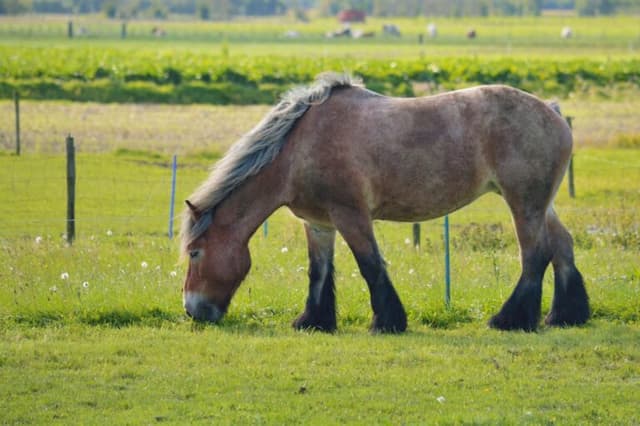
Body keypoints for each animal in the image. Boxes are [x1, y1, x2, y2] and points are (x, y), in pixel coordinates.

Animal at [180, 72, 592, 332]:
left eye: (195, 253)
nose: (192, 310)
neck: (298, 150)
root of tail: (553, 111)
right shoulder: (319, 223)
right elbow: (319, 271)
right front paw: (313, 321)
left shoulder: (351, 215)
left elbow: (370, 265)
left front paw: (387, 321)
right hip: (541, 205)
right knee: (562, 246)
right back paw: (565, 315)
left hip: (524, 203)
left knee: (535, 255)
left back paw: (510, 320)